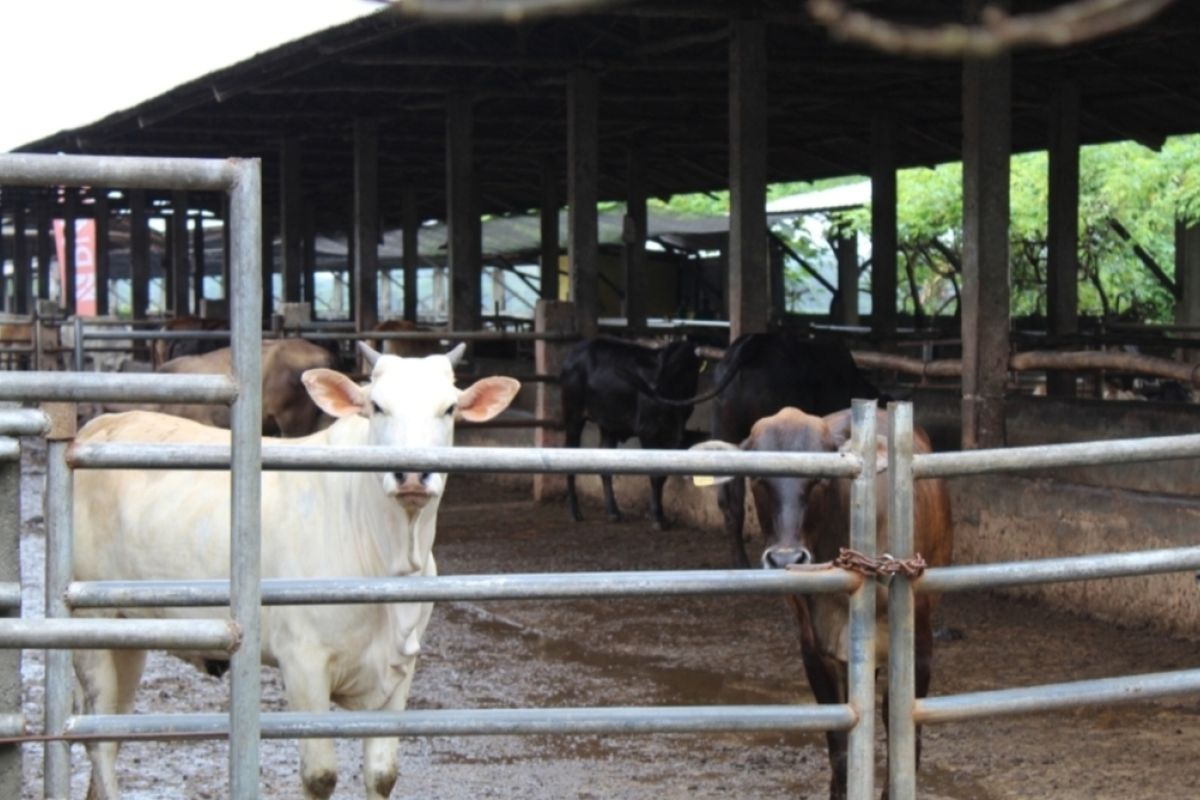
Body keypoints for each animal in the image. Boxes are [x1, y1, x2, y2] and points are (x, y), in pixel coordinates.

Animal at [72, 345, 518, 800]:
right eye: (377, 406)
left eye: (449, 409)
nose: (411, 474)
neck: (392, 554)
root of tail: (101, 423)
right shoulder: (303, 661)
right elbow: (320, 775)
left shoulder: (400, 666)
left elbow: (382, 774)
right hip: (88, 624)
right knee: (97, 739)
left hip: (128, 636)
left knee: (112, 727)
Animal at [561, 338, 700, 532]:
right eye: (667, 367)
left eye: (686, 370)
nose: (654, 389)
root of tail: (573, 352)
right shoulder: (648, 431)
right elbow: (656, 475)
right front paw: (657, 517)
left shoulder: (674, 436)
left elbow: (663, 474)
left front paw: (658, 514)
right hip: (573, 417)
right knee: (569, 455)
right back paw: (575, 512)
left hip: (608, 425)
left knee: (605, 465)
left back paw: (613, 512)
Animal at [700, 410, 950, 796]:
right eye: (758, 478)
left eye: (820, 479)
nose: (786, 557)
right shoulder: (815, 649)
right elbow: (840, 745)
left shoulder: (919, 644)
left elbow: (904, 735)